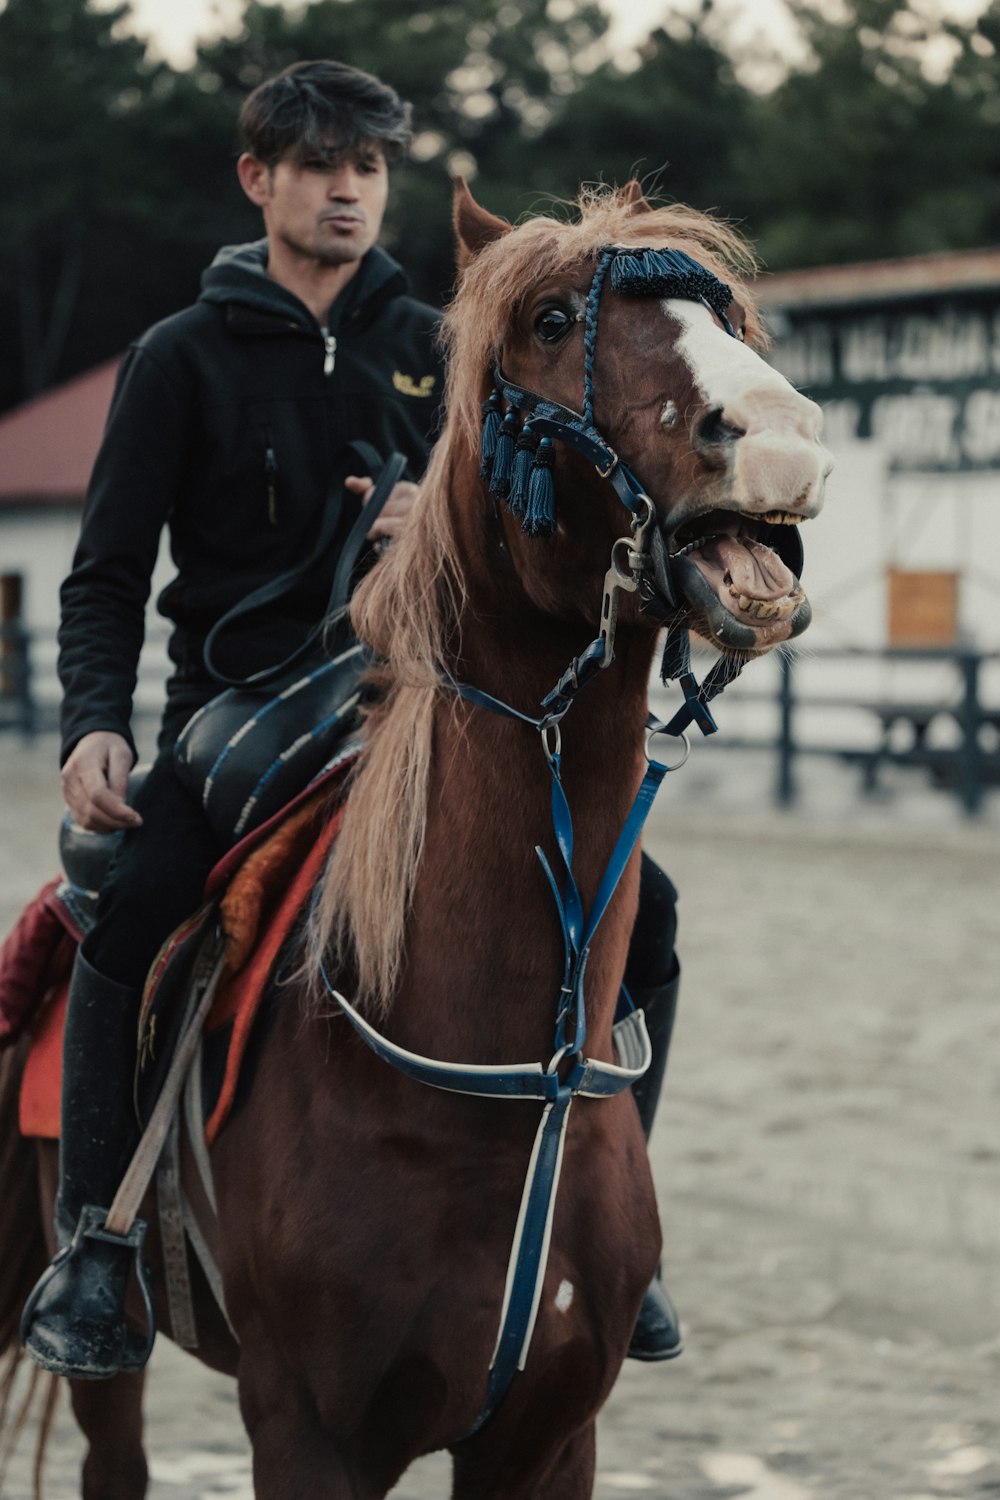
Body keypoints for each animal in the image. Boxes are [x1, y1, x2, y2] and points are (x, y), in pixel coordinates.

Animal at [0, 184, 827, 1500]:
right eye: (553, 320)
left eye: (726, 315)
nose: (781, 435)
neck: (492, 1093)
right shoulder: (307, 1434)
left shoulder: (549, 1439)